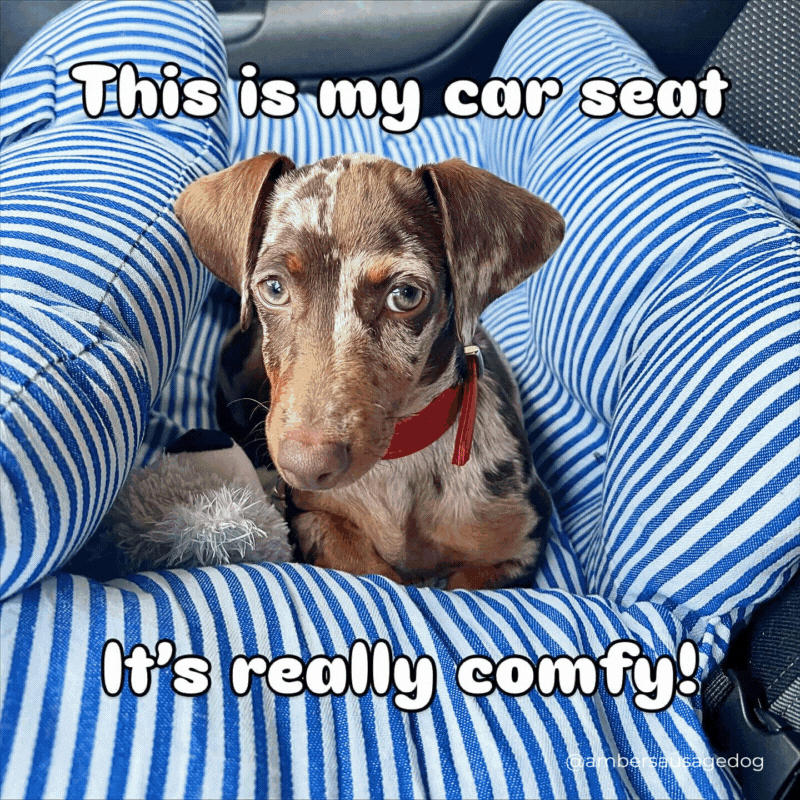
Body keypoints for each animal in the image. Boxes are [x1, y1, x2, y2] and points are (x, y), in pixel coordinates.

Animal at [175, 152, 563, 589]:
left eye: (406, 295)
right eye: (274, 288)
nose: (305, 467)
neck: (401, 462)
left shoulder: (518, 547)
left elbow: (466, 582)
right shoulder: (312, 513)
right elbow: (359, 560)